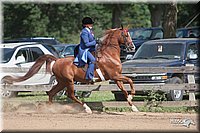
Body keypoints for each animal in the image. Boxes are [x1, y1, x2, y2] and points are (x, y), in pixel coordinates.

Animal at [2, 27, 138, 113]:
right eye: (126, 35)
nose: (133, 47)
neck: (109, 55)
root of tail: (57, 60)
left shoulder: (117, 77)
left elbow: (124, 89)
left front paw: (133, 106)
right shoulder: (114, 76)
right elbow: (130, 81)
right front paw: (132, 95)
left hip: (62, 82)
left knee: (51, 93)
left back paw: (51, 109)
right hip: (69, 81)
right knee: (70, 95)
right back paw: (87, 109)